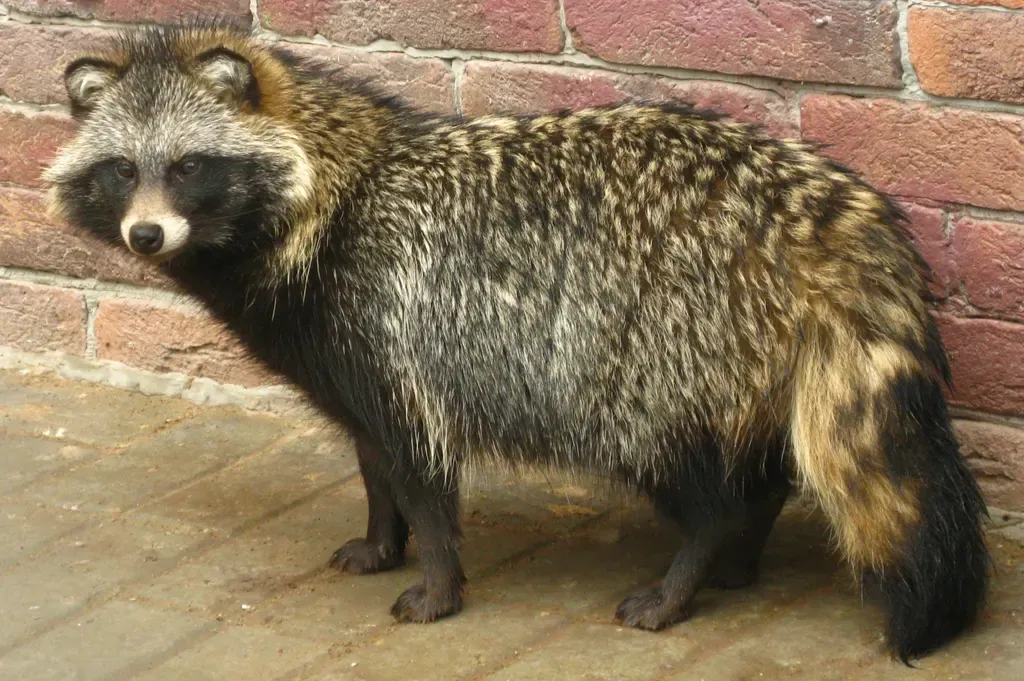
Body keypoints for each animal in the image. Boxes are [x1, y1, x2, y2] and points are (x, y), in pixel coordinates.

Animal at [46, 20, 989, 662]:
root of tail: (825, 210)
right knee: (759, 475)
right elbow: (374, 463)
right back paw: (738, 555)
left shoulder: (396, 338)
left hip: (658, 358)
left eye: (190, 167)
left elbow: (420, 473)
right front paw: (382, 539)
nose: (145, 235)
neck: (336, 191)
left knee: (706, 484)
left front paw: (436, 579)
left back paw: (689, 570)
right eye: (123, 170)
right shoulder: (348, 363)